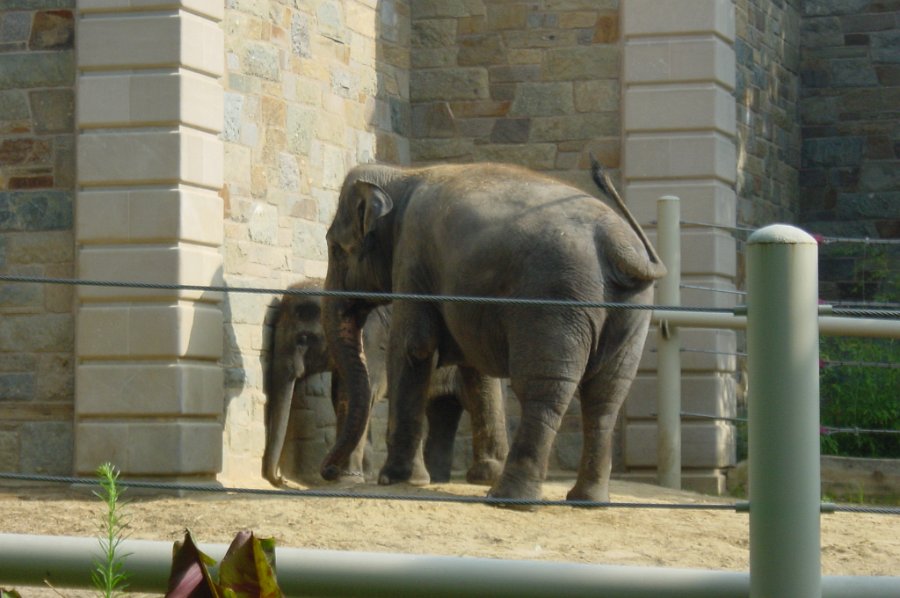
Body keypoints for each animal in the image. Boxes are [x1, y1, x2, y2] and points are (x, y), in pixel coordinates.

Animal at [262, 281, 508, 487]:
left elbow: (355, 396)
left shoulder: (371, 342)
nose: (281, 479)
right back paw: (433, 479)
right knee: (441, 411)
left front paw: (347, 479)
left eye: (303, 339)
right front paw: (362, 476)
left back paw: (483, 477)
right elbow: (344, 397)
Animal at [319, 156, 666, 506]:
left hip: (555, 301)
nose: (328, 472)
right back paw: (586, 500)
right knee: (606, 396)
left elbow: (412, 346)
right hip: (631, 310)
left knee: (542, 391)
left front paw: (397, 480)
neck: (402, 175)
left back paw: (508, 499)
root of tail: (617, 245)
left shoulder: (413, 255)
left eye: (335, 248)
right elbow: (473, 362)